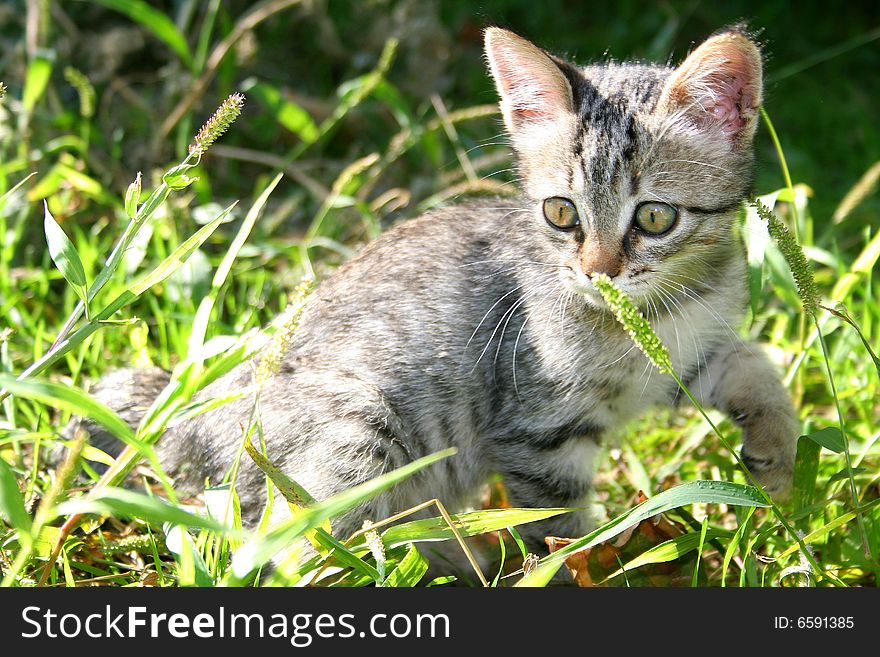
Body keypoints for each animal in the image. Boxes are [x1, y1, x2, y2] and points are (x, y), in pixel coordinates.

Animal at [74, 28, 796, 556]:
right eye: (561, 213)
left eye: (654, 217)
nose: (598, 272)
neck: (655, 310)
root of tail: (198, 411)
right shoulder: (538, 429)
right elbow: (560, 527)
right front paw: (590, 565)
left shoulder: (683, 360)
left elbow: (753, 363)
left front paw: (778, 457)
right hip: (362, 433)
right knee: (284, 545)